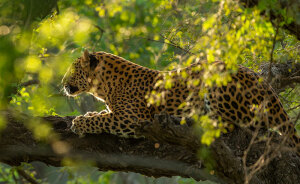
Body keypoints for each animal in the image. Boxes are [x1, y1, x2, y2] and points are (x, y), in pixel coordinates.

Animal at [62, 49, 298, 155]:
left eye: (73, 69)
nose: (62, 83)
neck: (104, 88)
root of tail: (266, 86)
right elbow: (103, 116)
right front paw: (90, 114)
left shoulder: (133, 119)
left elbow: (103, 121)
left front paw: (79, 123)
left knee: (235, 124)